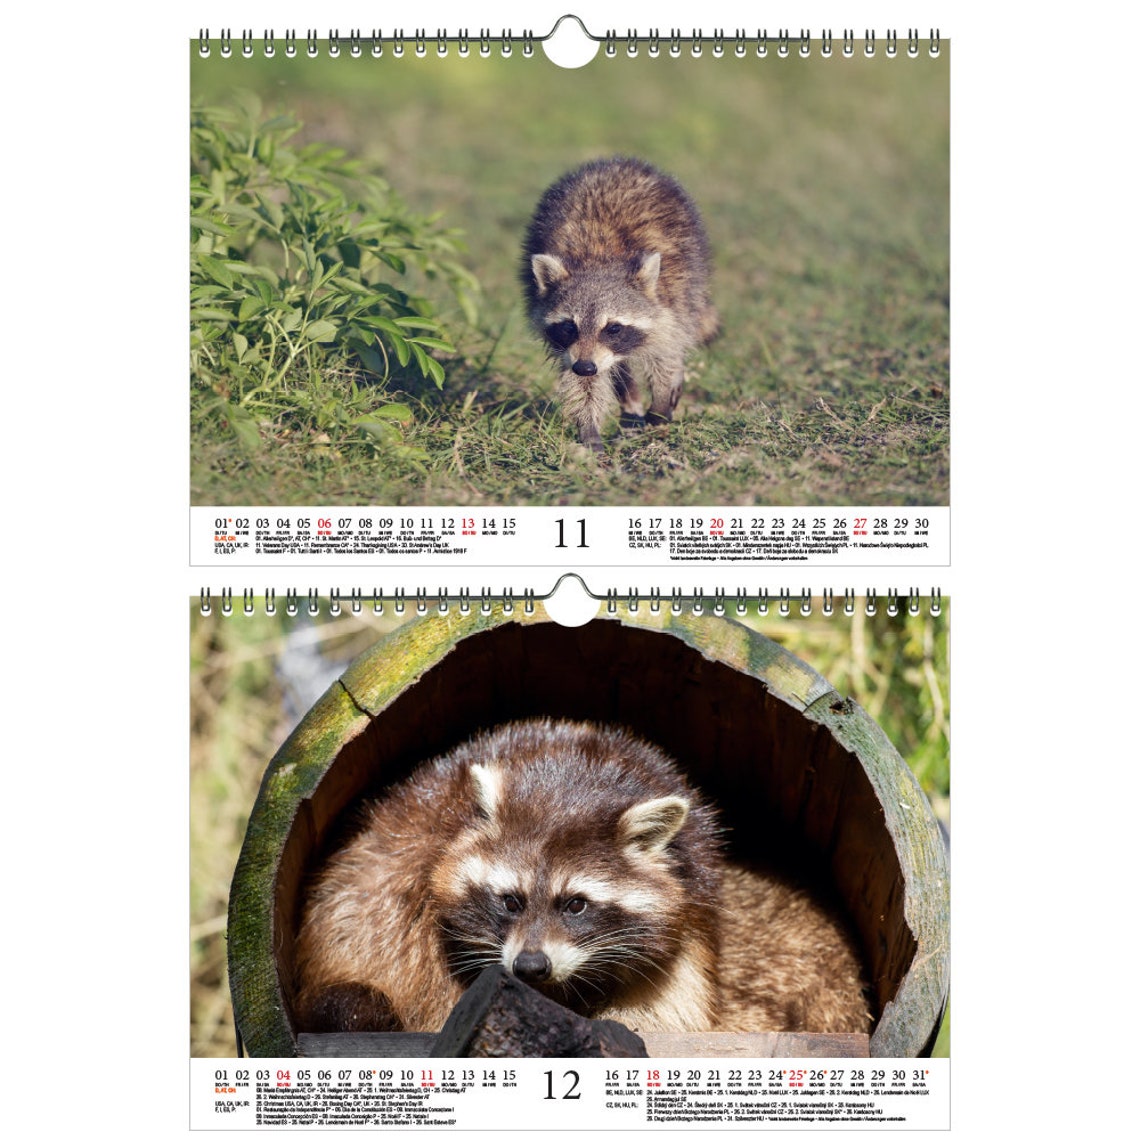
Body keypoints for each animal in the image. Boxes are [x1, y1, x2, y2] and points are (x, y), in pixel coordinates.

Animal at [294, 719, 724, 1035]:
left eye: (576, 905)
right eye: (511, 901)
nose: (531, 966)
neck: (574, 778)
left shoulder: (697, 879)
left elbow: (668, 991)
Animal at [521, 157, 718, 451]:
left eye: (613, 328)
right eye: (569, 327)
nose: (585, 367)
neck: (597, 260)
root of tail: (618, 161)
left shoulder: (670, 298)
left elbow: (667, 351)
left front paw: (662, 401)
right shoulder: (573, 349)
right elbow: (585, 385)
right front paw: (589, 428)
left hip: (691, 264)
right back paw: (629, 400)